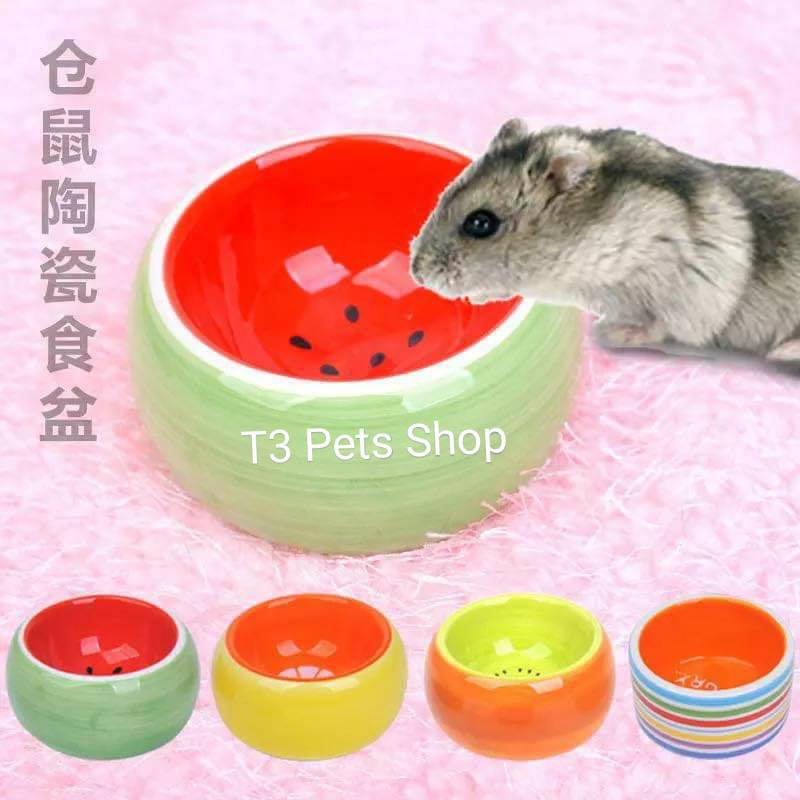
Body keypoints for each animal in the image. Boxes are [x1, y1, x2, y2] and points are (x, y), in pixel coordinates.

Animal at [410, 119, 800, 364]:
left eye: (480, 223)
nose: (417, 273)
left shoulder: (681, 286)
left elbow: (661, 324)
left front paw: (613, 332)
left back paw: (781, 351)